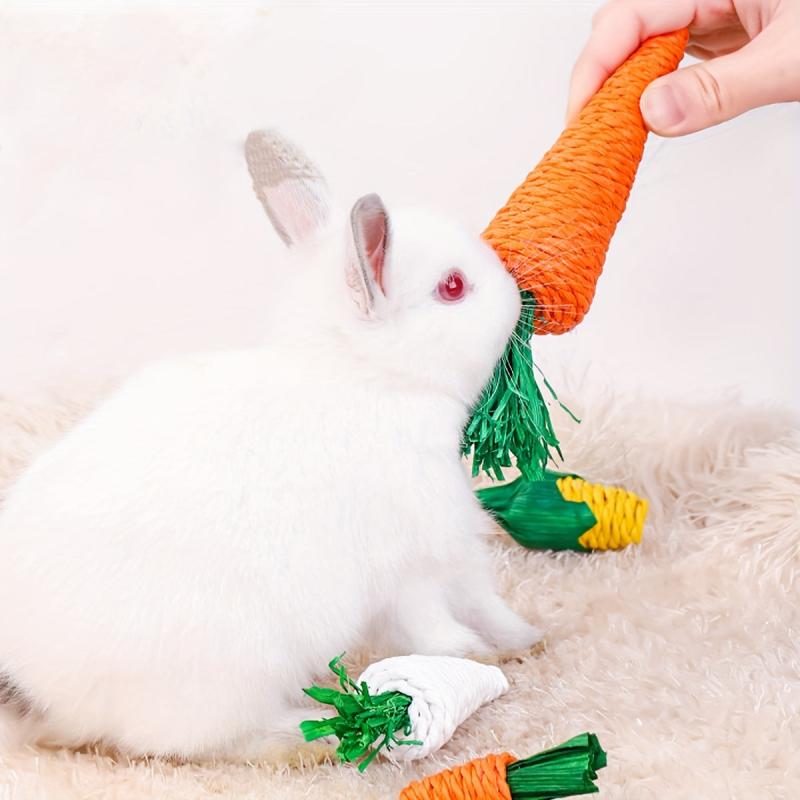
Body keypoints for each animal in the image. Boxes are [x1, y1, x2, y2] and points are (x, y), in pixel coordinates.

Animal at [0, 130, 541, 761]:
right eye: (452, 287)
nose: (517, 294)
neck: (367, 377)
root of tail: (45, 695)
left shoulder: (455, 552)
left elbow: (486, 603)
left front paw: (528, 639)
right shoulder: (411, 566)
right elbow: (433, 625)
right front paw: (476, 655)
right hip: (229, 673)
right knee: (218, 740)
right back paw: (311, 733)